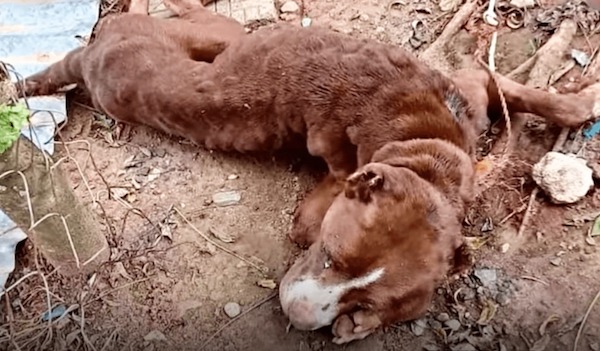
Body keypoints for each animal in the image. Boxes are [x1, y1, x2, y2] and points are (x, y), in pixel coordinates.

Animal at [16, 0, 600, 346]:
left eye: (364, 297)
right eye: (328, 254)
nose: (295, 316)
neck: (426, 148)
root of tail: (94, 54)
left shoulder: (470, 98)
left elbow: (520, 90)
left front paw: (577, 105)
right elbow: (506, 82)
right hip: (219, 32)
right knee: (189, 11)